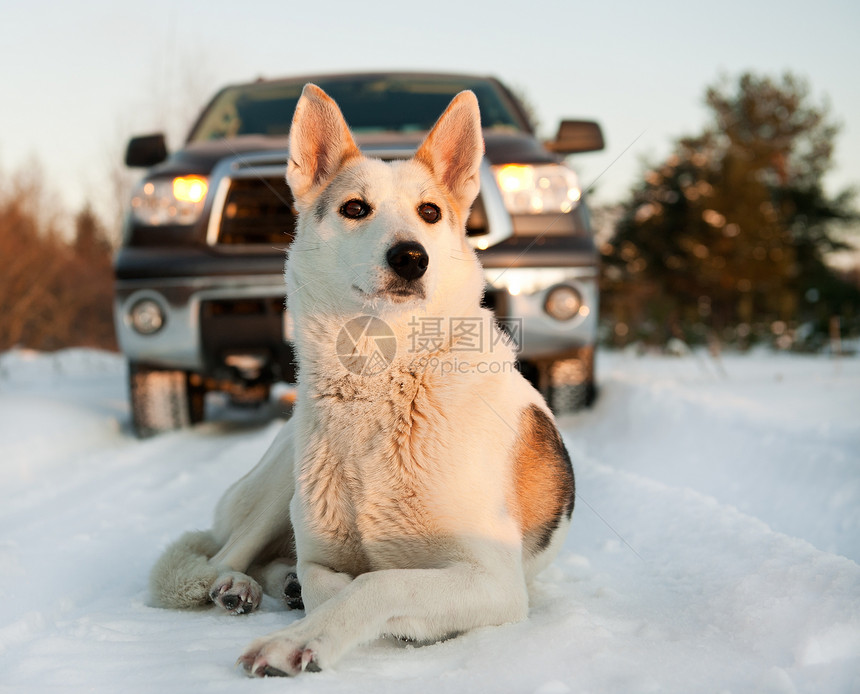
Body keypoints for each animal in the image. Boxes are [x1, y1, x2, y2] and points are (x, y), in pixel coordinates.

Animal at [150, 85, 576, 680]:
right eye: (355, 208)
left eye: (429, 212)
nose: (411, 257)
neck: (383, 378)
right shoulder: (324, 556)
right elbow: (336, 583)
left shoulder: (493, 580)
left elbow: (378, 583)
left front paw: (296, 639)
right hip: (281, 482)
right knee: (228, 555)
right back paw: (236, 585)